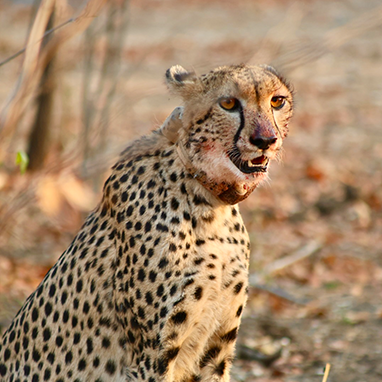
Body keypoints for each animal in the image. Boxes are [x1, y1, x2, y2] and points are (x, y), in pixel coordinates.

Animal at [0, 64, 294, 380]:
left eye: (277, 101)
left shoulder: (216, 352)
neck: (210, 205)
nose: (265, 140)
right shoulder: (152, 358)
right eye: (228, 103)